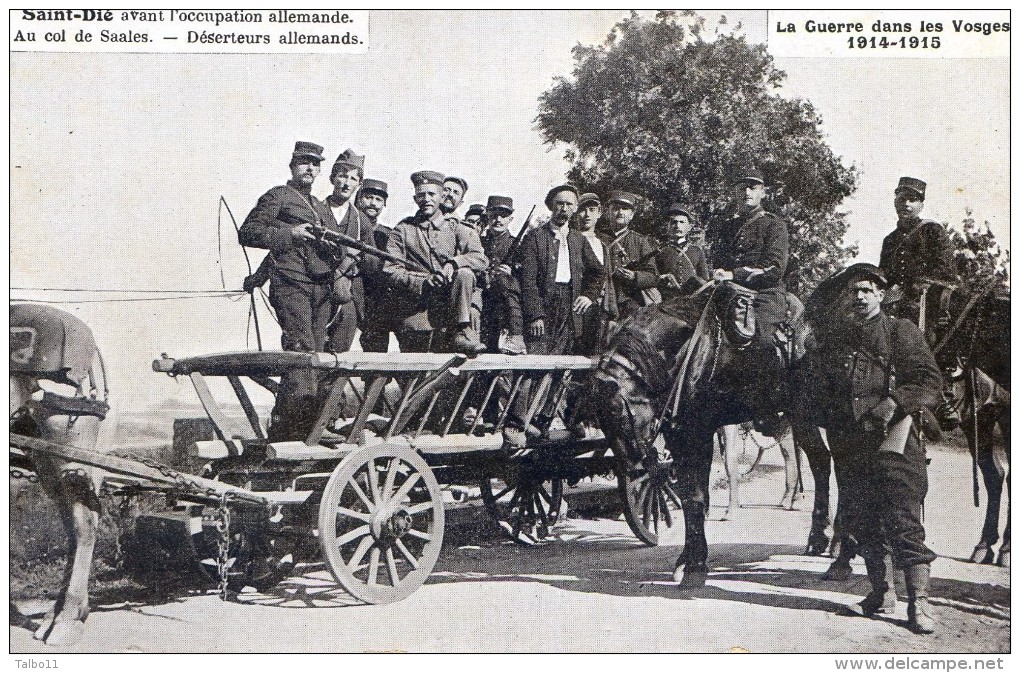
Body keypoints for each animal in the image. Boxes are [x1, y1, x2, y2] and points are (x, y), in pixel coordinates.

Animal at [9, 305, 112, 648]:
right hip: (44, 457)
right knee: (74, 524)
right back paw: (60, 615)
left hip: (69, 440)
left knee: (84, 524)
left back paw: (66, 620)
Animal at [587, 281, 832, 587]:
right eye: (599, 421)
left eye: (618, 411)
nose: (633, 467)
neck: (683, 352)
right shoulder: (679, 434)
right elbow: (692, 496)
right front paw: (689, 559)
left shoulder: (698, 431)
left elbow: (696, 495)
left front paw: (693, 564)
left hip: (804, 414)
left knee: (825, 463)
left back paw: (822, 537)